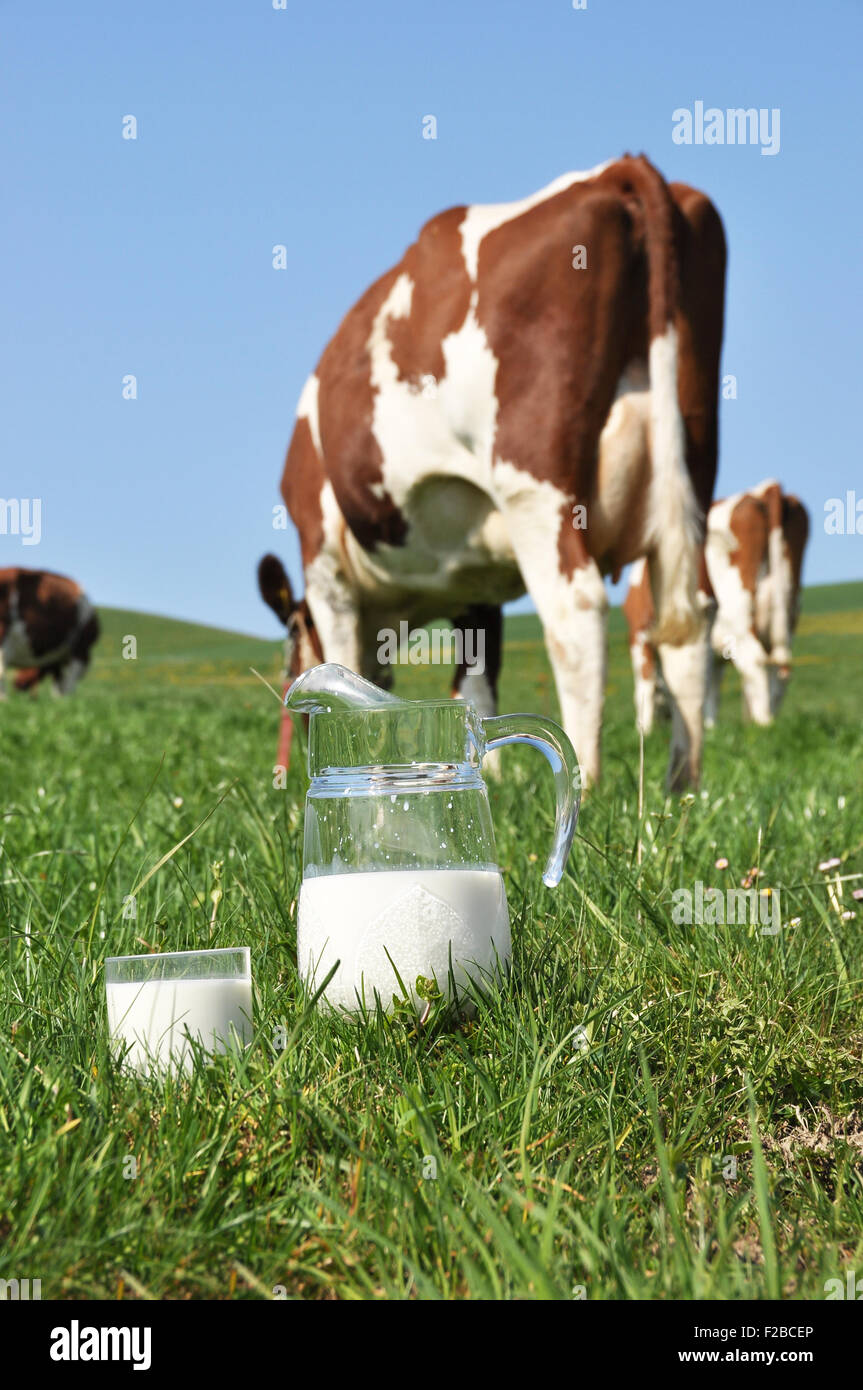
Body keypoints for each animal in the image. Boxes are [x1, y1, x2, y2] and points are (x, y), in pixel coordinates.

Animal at [258, 157, 722, 789]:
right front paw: (488, 773)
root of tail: (617, 168)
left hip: (535, 488)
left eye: (290, 660)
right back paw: (683, 786)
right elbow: (477, 680)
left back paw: (592, 779)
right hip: (695, 464)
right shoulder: (474, 582)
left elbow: (348, 658)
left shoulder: (322, 555)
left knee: (576, 615)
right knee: (691, 621)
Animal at [622, 483, 806, 733]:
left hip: (739, 619)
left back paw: (763, 724)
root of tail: (766, 489)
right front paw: (711, 727)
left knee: (756, 661)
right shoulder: (715, 652)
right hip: (787, 614)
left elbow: (645, 683)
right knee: (781, 668)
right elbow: (711, 687)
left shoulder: (639, 632)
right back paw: (767, 720)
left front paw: (645, 729)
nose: (666, 719)